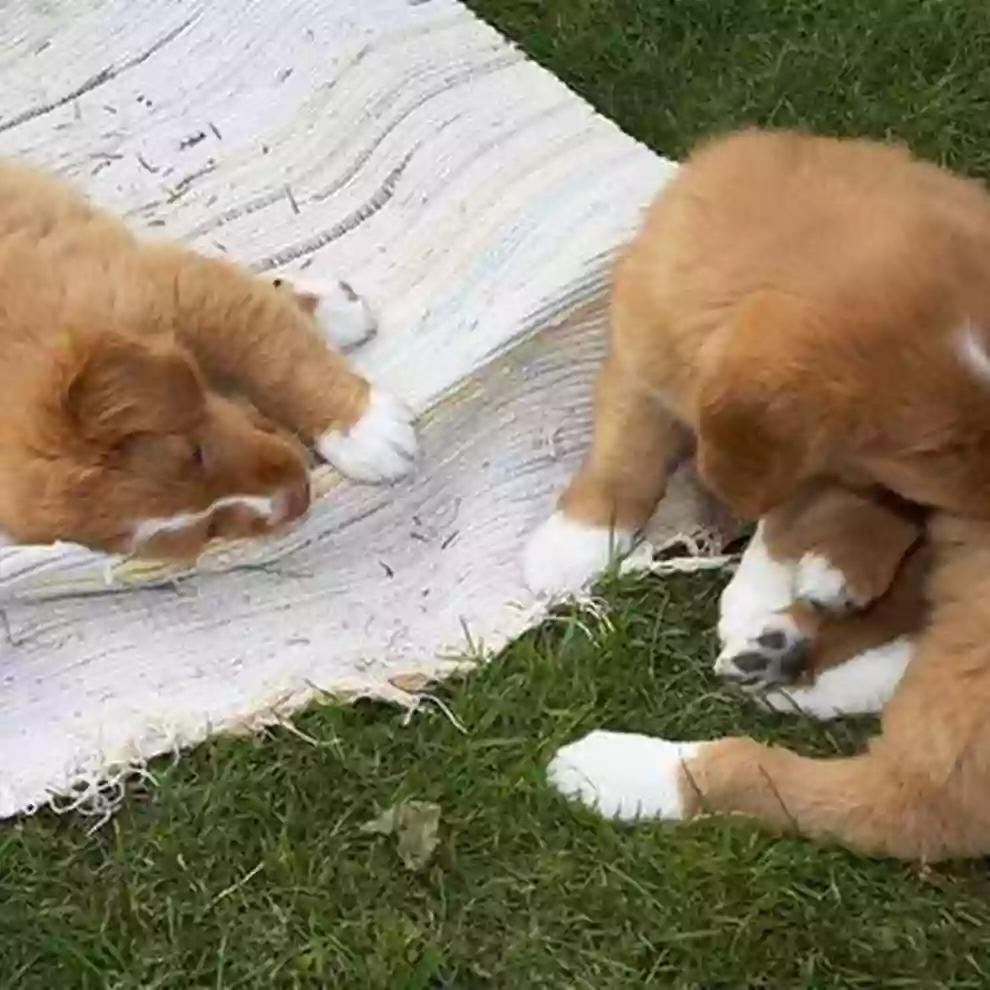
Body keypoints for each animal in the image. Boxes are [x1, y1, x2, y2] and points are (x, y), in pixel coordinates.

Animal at [0, 164, 418, 564]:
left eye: (195, 452)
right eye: (207, 530)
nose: (297, 498)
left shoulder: (175, 289)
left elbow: (273, 354)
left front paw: (364, 430)